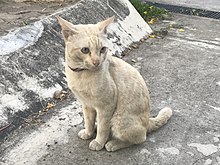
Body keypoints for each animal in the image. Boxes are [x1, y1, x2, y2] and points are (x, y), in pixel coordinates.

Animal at [56, 16, 172, 151]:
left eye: (102, 49)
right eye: (85, 50)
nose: (96, 62)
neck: (81, 74)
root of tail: (148, 121)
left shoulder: (105, 107)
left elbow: (103, 128)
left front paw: (98, 142)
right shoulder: (87, 105)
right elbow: (89, 121)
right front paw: (88, 133)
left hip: (119, 120)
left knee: (139, 139)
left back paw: (113, 143)